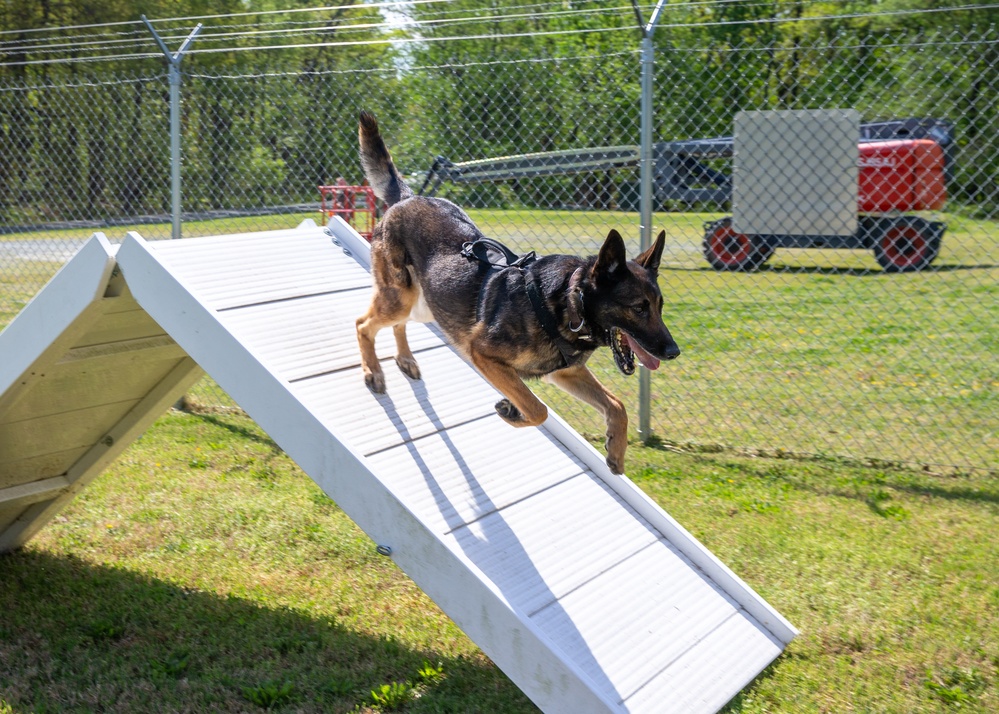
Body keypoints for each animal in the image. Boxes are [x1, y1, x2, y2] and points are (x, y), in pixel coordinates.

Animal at [354, 112, 680, 472]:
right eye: (639, 307)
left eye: (660, 307)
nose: (674, 351)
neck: (566, 303)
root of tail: (408, 197)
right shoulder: (483, 355)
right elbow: (538, 409)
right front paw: (513, 411)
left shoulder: (567, 372)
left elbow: (617, 405)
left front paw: (616, 451)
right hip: (401, 297)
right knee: (363, 324)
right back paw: (373, 371)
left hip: (425, 304)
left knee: (397, 323)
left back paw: (406, 359)